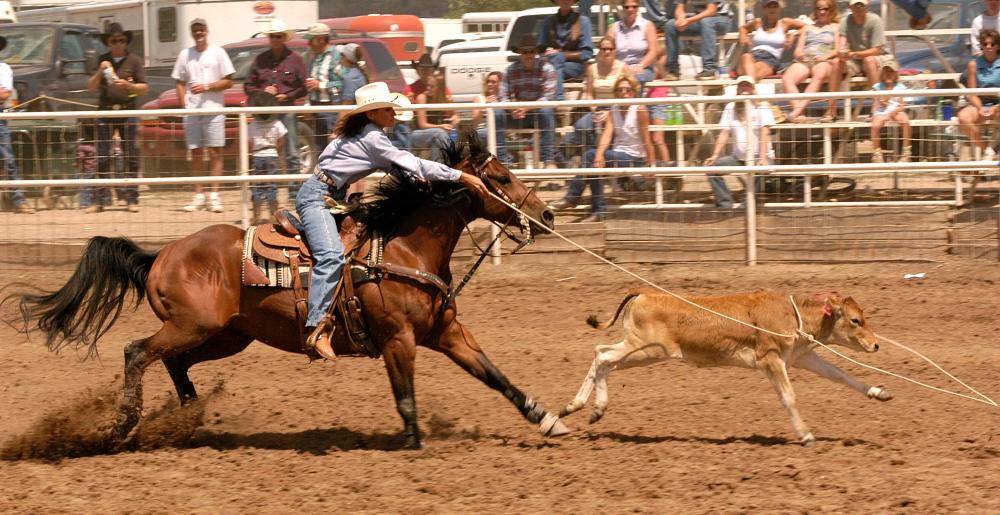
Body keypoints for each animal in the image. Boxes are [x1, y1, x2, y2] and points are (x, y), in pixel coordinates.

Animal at [11, 134, 568, 452]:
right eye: (501, 177)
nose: (546, 213)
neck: (404, 248)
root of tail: (161, 254)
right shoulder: (398, 340)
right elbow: (406, 398)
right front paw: (413, 445)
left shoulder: (446, 333)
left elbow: (495, 375)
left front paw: (547, 419)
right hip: (194, 326)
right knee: (136, 352)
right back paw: (126, 424)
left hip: (225, 335)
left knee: (172, 362)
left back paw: (189, 419)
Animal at [560, 288, 896, 446]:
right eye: (855, 320)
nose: (875, 345)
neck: (792, 314)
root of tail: (644, 292)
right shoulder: (771, 360)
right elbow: (789, 397)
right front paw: (805, 435)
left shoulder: (800, 357)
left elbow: (841, 375)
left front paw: (879, 392)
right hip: (645, 347)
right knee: (602, 356)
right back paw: (591, 407)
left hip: (646, 352)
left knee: (603, 358)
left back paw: (578, 408)